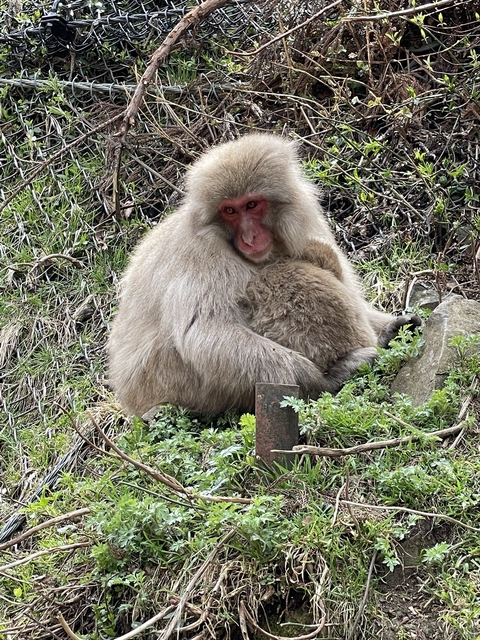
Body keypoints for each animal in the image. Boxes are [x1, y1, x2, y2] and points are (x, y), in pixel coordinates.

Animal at [107, 134, 420, 416]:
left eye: (251, 205)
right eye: (229, 210)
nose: (250, 237)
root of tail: (131, 400)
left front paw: (389, 328)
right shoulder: (202, 251)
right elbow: (205, 333)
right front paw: (323, 381)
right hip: (175, 382)